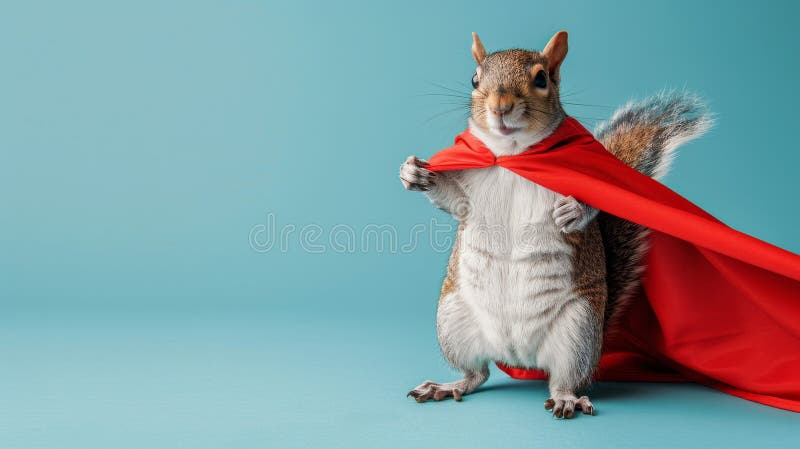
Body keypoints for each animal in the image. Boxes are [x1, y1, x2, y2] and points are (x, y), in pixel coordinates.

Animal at [399, 31, 710, 418]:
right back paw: (448, 385)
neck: (514, 156)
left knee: (564, 378)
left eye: (541, 79)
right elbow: (452, 201)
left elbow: (598, 198)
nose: (500, 106)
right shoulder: (468, 193)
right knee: (477, 374)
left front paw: (573, 211)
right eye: (474, 79)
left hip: (578, 331)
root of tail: (520, 358)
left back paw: (565, 398)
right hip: (454, 320)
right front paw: (415, 173)